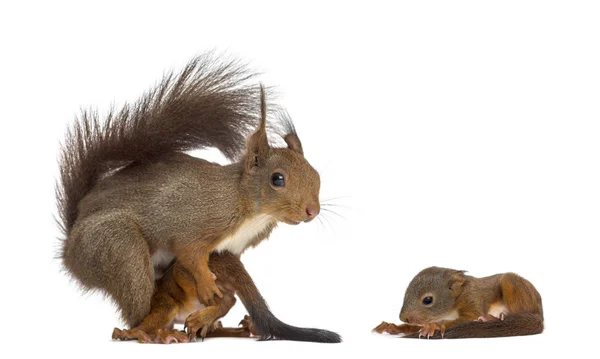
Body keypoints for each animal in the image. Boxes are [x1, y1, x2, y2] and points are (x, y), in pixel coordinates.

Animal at [110, 252, 340, 344]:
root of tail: (229, 260)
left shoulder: (162, 303)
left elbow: (151, 320)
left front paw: (130, 332)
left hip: (199, 274)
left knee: (224, 298)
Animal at [372, 268, 540, 340]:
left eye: (428, 300)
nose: (404, 318)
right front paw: (394, 327)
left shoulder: (472, 298)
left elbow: (471, 316)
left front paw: (436, 326)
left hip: (511, 283)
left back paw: (493, 318)